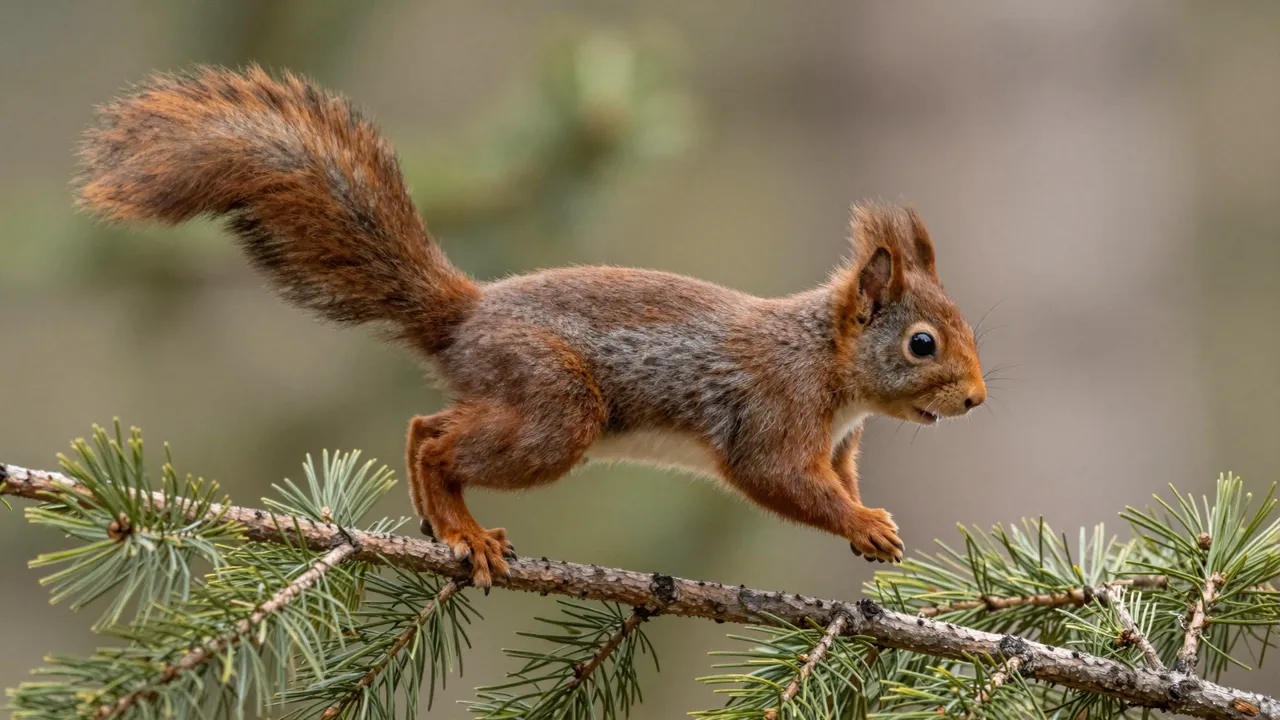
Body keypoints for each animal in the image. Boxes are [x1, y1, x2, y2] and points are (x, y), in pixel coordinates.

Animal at [75, 66, 986, 588]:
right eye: (922, 343)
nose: (978, 400)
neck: (830, 368)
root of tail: (463, 315)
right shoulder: (768, 413)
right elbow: (779, 480)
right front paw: (861, 523)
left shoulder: (841, 443)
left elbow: (838, 480)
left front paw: (873, 530)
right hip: (553, 407)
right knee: (433, 435)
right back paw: (462, 530)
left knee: (428, 425)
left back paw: (444, 524)